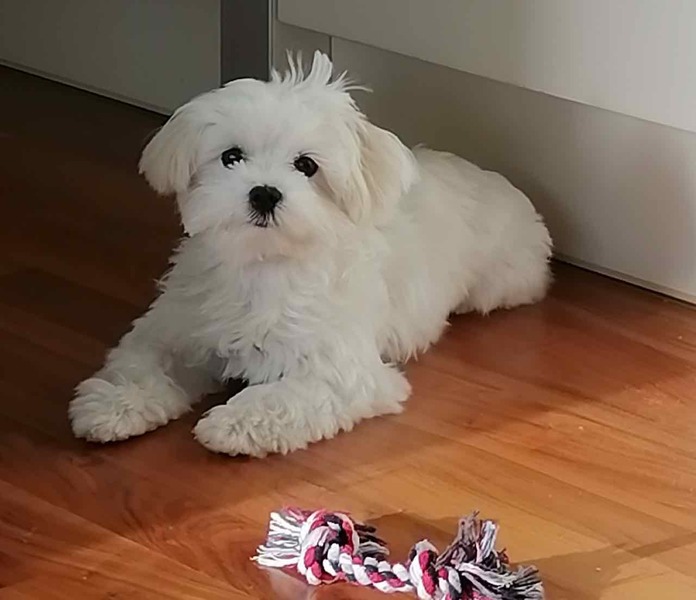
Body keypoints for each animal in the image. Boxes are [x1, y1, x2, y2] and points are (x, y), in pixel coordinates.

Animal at [69, 52, 552, 457]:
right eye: (231, 157)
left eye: (306, 165)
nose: (264, 193)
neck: (264, 266)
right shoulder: (176, 329)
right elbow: (141, 363)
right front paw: (112, 405)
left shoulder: (340, 371)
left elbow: (286, 396)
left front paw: (233, 423)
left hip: (500, 281)